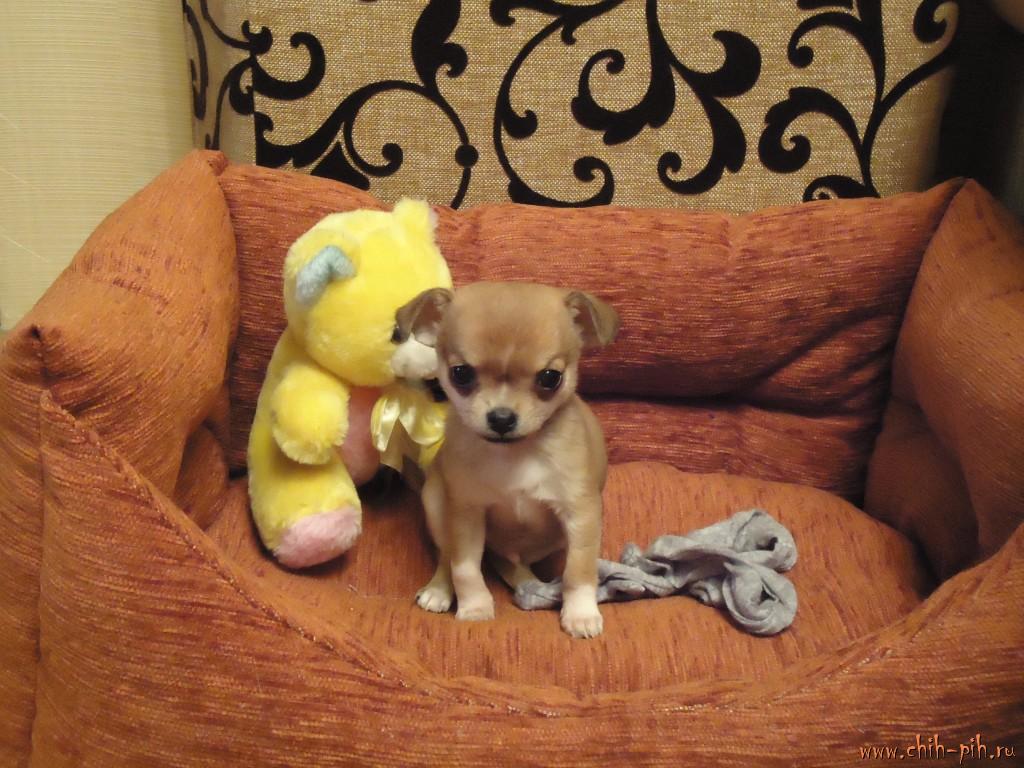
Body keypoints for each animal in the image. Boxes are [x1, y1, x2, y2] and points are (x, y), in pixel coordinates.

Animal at [395, 281, 620, 638]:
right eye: (460, 374)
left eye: (550, 378)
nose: (501, 418)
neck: (514, 455)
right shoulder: (467, 513)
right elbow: (465, 567)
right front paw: (474, 606)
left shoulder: (580, 514)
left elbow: (579, 570)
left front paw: (581, 613)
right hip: (436, 504)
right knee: (446, 556)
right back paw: (439, 590)